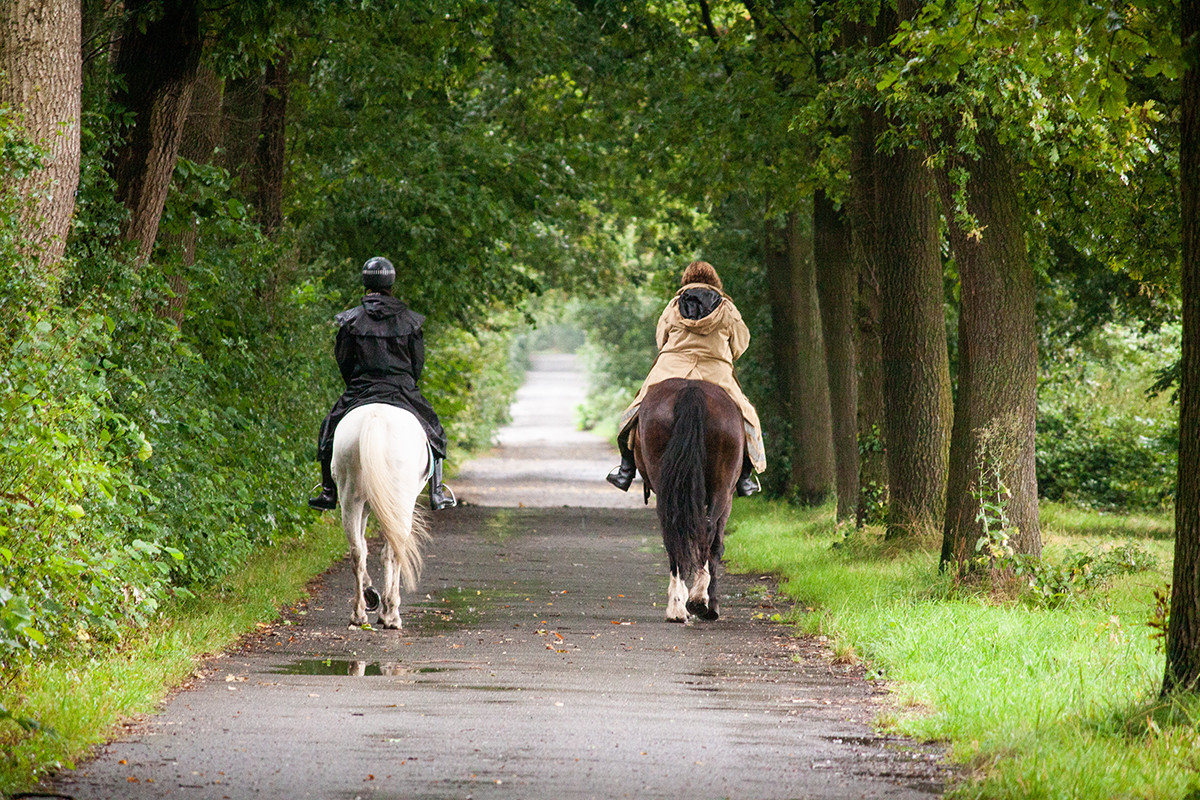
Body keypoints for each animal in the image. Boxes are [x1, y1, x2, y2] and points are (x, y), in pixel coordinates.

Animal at [333, 402, 432, 628]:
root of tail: (375, 418)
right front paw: (385, 607)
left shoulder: (365, 506)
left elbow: (363, 545)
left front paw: (370, 592)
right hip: (400, 502)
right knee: (394, 551)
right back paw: (391, 614)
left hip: (351, 498)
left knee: (357, 551)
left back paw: (358, 614)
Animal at [633, 379, 744, 623]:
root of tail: (691, 390)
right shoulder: (728, 499)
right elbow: (717, 546)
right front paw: (710, 604)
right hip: (722, 490)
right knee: (707, 533)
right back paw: (698, 600)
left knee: (674, 534)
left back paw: (677, 606)